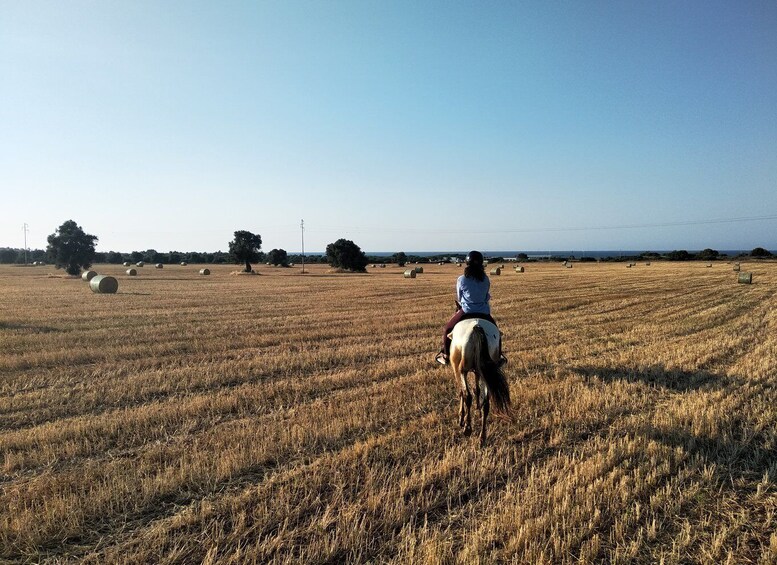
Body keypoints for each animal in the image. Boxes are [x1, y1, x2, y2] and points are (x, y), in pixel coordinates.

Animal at [446, 318, 512, 446]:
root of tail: (476, 326)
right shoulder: (478, 372)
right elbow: (477, 389)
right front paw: (478, 409)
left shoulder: (457, 370)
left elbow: (462, 392)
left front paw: (461, 418)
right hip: (486, 371)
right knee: (486, 403)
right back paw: (482, 437)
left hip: (463, 370)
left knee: (467, 396)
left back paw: (467, 428)